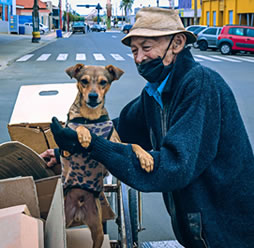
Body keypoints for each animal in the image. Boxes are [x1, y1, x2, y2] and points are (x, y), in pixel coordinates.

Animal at [62, 64, 153, 248]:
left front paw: (146, 157)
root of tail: (78, 211)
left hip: (96, 229)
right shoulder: (66, 148)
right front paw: (84, 134)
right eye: (84, 81)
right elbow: (78, 128)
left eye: (103, 82)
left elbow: (133, 144)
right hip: (63, 223)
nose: (93, 96)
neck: (91, 117)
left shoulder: (115, 143)